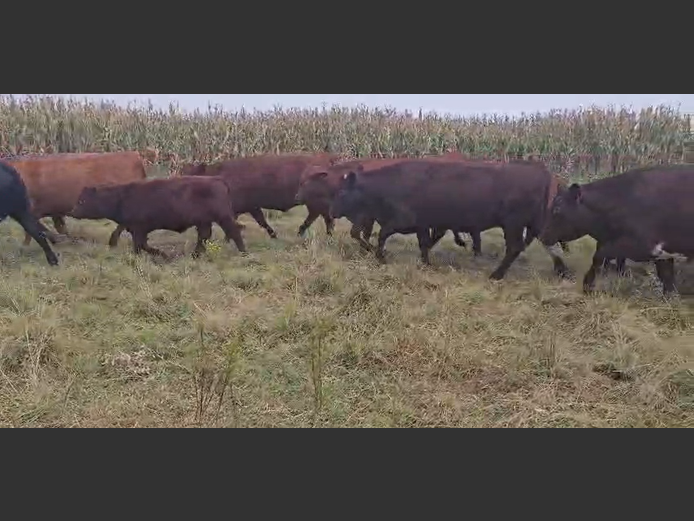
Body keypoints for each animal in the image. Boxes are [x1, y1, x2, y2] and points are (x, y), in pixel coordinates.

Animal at [4, 151, 147, 247]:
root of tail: (135, 155)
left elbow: (33, 230)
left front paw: (25, 246)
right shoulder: (53, 210)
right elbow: (59, 227)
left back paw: (113, 242)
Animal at [70, 176, 246, 259]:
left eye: (82, 200)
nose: (72, 211)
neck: (122, 197)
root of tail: (217, 179)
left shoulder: (139, 228)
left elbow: (141, 245)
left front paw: (163, 255)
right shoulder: (135, 229)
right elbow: (140, 246)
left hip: (223, 217)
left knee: (234, 232)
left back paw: (243, 253)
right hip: (203, 221)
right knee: (203, 237)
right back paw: (195, 255)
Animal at [328, 159, 571, 281]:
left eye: (341, 192)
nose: (331, 211)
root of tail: (543, 173)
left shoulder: (404, 220)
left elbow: (383, 235)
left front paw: (381, 256)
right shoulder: (422, 224)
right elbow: (424, 243)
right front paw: (425, 262)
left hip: (513, 223)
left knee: (515, 247)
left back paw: (496, 275)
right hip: (536, 222)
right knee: (548, 242)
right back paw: (562, 270)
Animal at [539, 164, 694, 295]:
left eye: (557, 209)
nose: (542, 235)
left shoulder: (644, 246)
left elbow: (599, 256)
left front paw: (587, 286)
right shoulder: (663, 252)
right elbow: (667, 277)